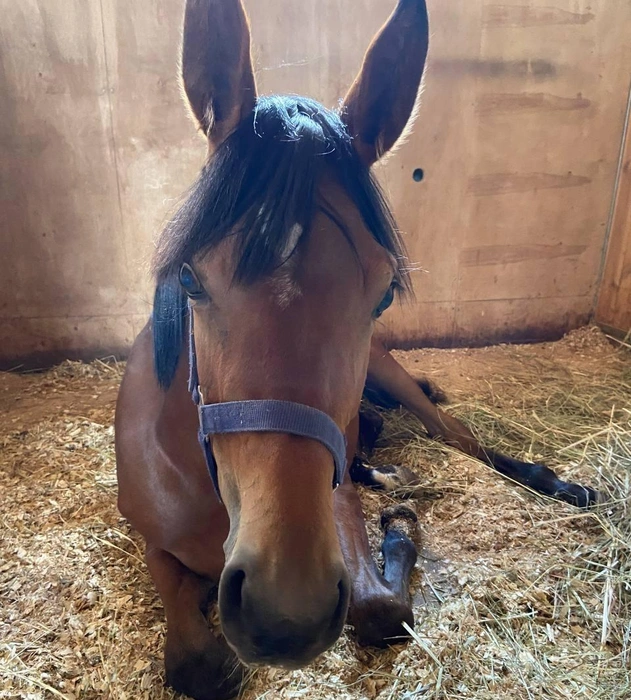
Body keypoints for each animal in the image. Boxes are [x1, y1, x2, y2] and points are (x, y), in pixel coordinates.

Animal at [115, 1, 598, 698]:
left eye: (383, 293)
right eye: (189, 279)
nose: (283, 612)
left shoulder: (335, 509)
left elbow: (376, 606)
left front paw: (398, 533)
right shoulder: (149, 536)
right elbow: (194, 661)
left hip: (390, 376)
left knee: (456, 434)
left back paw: (552, 482)